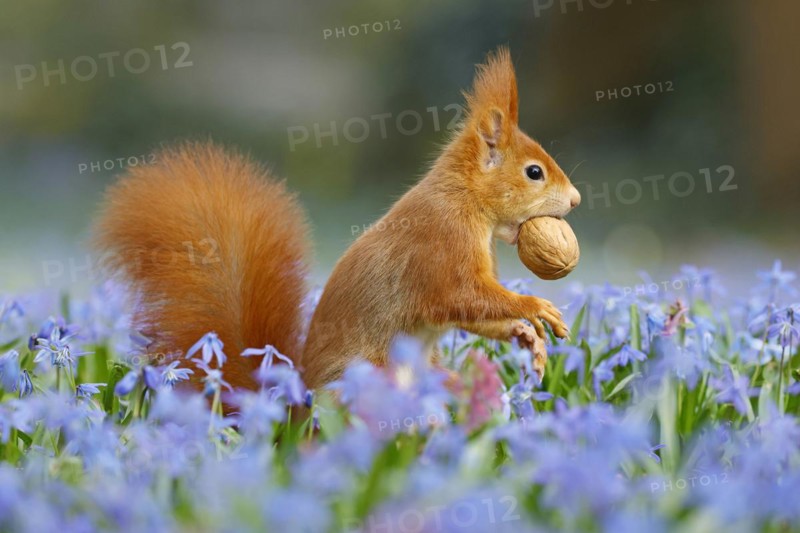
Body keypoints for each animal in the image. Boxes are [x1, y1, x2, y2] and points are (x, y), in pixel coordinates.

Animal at [94, 47, 581, 393]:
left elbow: (472, 312)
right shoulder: (442, 247)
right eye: (534, 172)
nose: (576, 200)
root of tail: (294, 413)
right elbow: (463, 296)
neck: (466, 202)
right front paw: (535, 308)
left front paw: (525, 336)